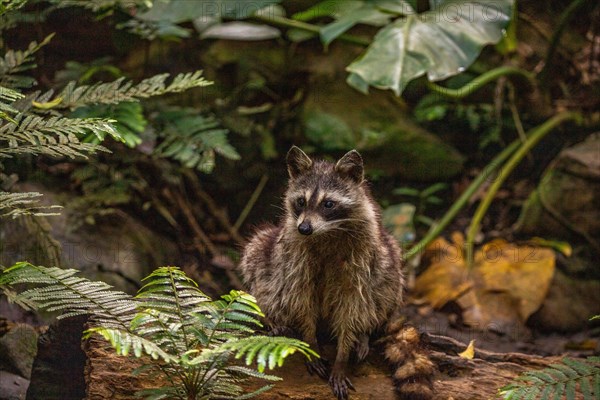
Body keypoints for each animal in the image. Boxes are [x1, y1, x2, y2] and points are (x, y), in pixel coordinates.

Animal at [240, 147, 436, 400]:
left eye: (328, 204)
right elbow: (300, 299)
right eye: (301, 201)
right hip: (266, 251)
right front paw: (310, 344)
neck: (327, 232)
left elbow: (353, 307)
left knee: (386, 284)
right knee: (258, 263)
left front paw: (343, 356)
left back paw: (364, 333)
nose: (304, 228)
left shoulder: (361, 260)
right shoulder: (295, 259)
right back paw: (272, 318)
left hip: (388, 261)